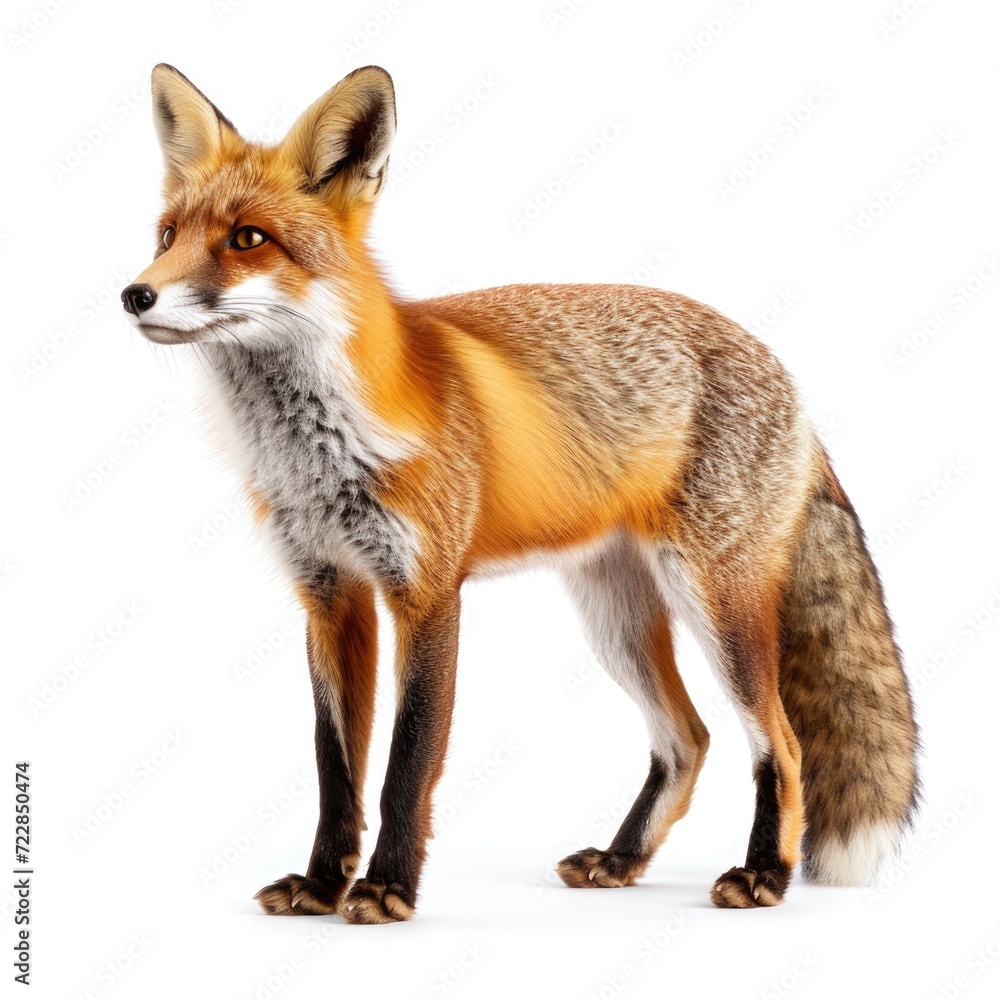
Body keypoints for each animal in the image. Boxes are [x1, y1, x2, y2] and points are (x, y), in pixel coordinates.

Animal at [122, 64, 919, 923]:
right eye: (166, 236)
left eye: (246, 240)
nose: (135, 295)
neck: (319, 454)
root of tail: (783, 371)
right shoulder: (329, 595)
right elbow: (336, 770)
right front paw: (323, 884)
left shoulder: (428, 592)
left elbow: (407, 764)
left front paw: (387, 888)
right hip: (614, 617)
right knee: (689, 738)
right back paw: (621, 858)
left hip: (717, 602)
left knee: (782, 741)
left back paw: (765, 871)